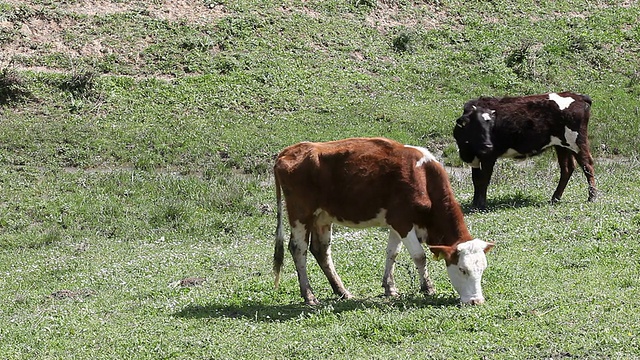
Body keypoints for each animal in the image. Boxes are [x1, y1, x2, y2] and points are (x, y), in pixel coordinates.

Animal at [272, 136, 492, 306]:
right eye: (462, 270)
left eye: (482, 270)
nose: (476, 301)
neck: (422, 177)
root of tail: (289, 151)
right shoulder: (403, 221)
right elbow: (419, 256)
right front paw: (427, 287)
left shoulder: (396, 222)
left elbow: (392, 253)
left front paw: (390, 288)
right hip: (301, 214)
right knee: (298, 249)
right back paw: (309, 295)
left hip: (322, 217)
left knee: (321, 251)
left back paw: (342, 291)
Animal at [452, 91, 596, 210]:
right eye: (475, 125)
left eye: (491, 125)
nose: (488, 145)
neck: (468, 150)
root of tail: (578, 96)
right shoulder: (475, 158)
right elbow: (476, 180)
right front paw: (475, 204)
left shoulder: (489, 157)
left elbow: (484, 179)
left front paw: (481, 205)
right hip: (562, 145)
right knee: (567, 168)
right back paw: (555, 198)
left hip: (577, 141)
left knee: (587, 165)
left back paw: (592, 197)